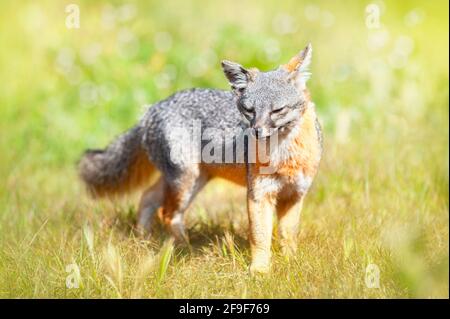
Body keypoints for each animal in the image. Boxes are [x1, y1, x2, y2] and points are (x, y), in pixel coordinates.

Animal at [79, 43, 322, 276]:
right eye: (249, 110)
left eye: (277, 110)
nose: (255, 131)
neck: (286, 157)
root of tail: (151, 110)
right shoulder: (259, 194)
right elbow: (260, 236)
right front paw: (260, 270)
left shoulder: (294, 195)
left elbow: (288, 235)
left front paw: (290, 262)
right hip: (185, 182)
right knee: (167, 213)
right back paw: (183, 248)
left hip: (191, 180)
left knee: (148, 197)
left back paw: (144, 240)